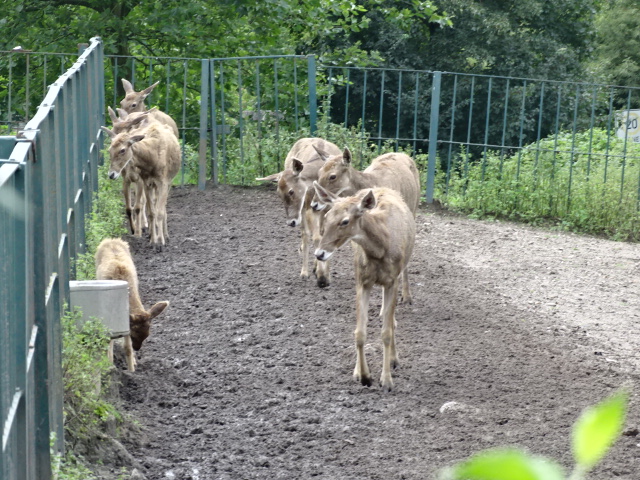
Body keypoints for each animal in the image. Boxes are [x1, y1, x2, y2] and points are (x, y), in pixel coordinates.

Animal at [95, 238, 169, 372]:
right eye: (134, 335)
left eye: (147, 335)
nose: (137, 348)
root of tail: (111, 239)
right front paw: (111, 364)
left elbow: (127, 348)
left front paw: (132, 368)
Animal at [101, 120, 181, 249]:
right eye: (109, 150)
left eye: (122, 150)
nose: (111, 174)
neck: (152, 161)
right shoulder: (146, 182)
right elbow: (151, 212)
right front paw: (153, 241)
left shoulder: (162, 182)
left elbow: (159, 212)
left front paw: (160, 241)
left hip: (169, 181)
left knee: (163, 208)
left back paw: (166, 235)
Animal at [256, 137, 341, 287]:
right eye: (278, 193)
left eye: (291, 191)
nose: (291, 222)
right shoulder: (309, 206)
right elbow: (312, 236)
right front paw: (316, 275)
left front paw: (324, 274)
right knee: (307, 234)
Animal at [312, 147, 421, 302]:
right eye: (320, 171)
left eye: (333, 176)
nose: (314, 204)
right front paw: (322, 276)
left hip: (414, 208)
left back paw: (406, 296)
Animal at [313, 184, 416, 391]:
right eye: (326, 217)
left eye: (345, 221)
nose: (319, 253)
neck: (380, 249)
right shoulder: (362, 282)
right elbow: (359, 332)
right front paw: (364, 375)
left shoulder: (392, 281)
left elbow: (386, 331)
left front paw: (387, 380)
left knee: (391, 320)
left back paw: (394, 360)